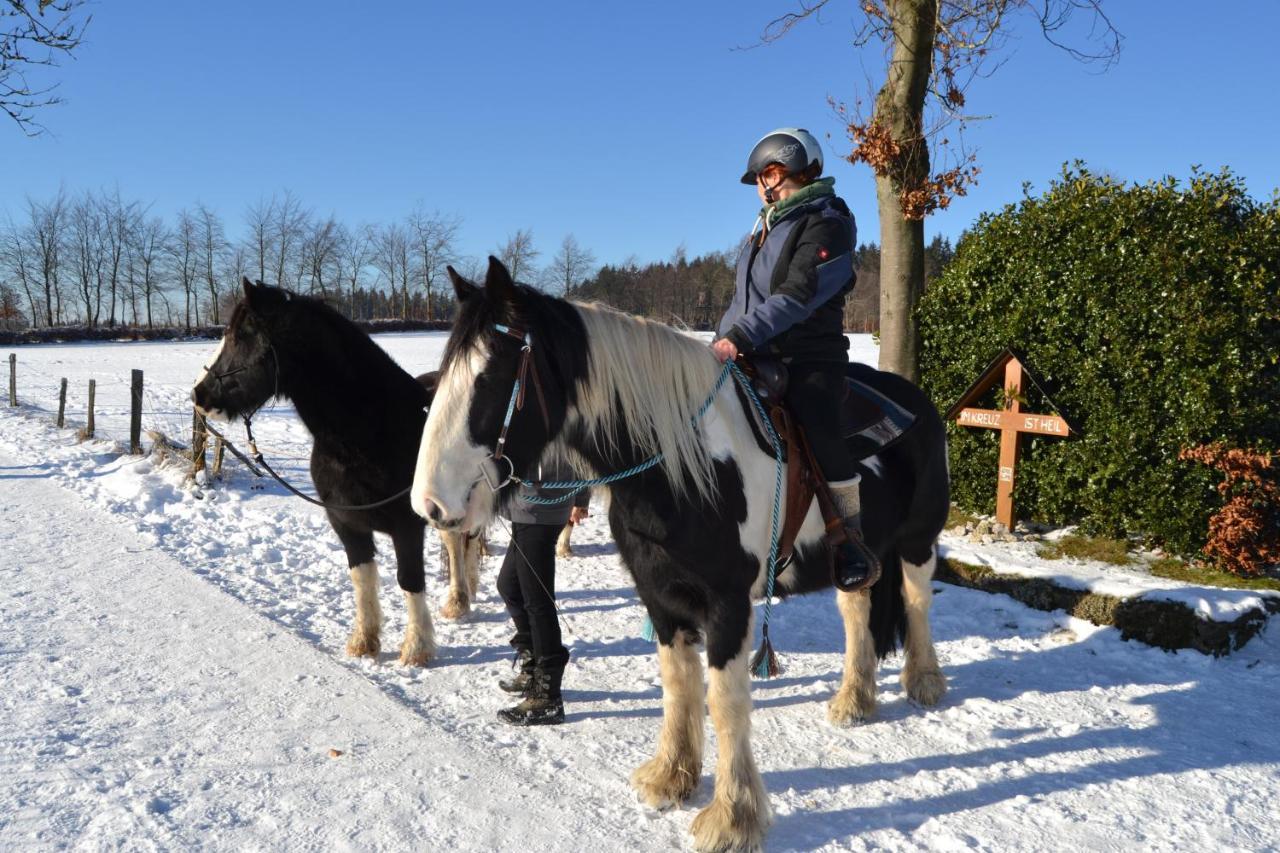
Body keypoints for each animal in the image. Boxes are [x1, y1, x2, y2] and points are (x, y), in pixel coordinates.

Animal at [192, 279, 481, 666]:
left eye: (240, 336)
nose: (199, 394)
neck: (367, 435)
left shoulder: (406, 526)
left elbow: (409, 579)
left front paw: (416, 649)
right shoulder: (345, 523)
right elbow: (362, 577)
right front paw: (364, 642)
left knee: (458, 541)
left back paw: (459, 600)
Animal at [412, 258, 952, 850]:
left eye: (488, 378)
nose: (430, 503)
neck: (683, 466)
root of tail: (916, 399)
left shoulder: (728, 606)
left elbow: (725, 702)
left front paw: (732, 817)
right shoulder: (661, 597)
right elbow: (678, 684)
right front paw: (671, 777)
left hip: (917, 541)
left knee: (917, 601)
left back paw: (924, 682)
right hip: (857, 557)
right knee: (857, 610)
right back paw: (854, 699)